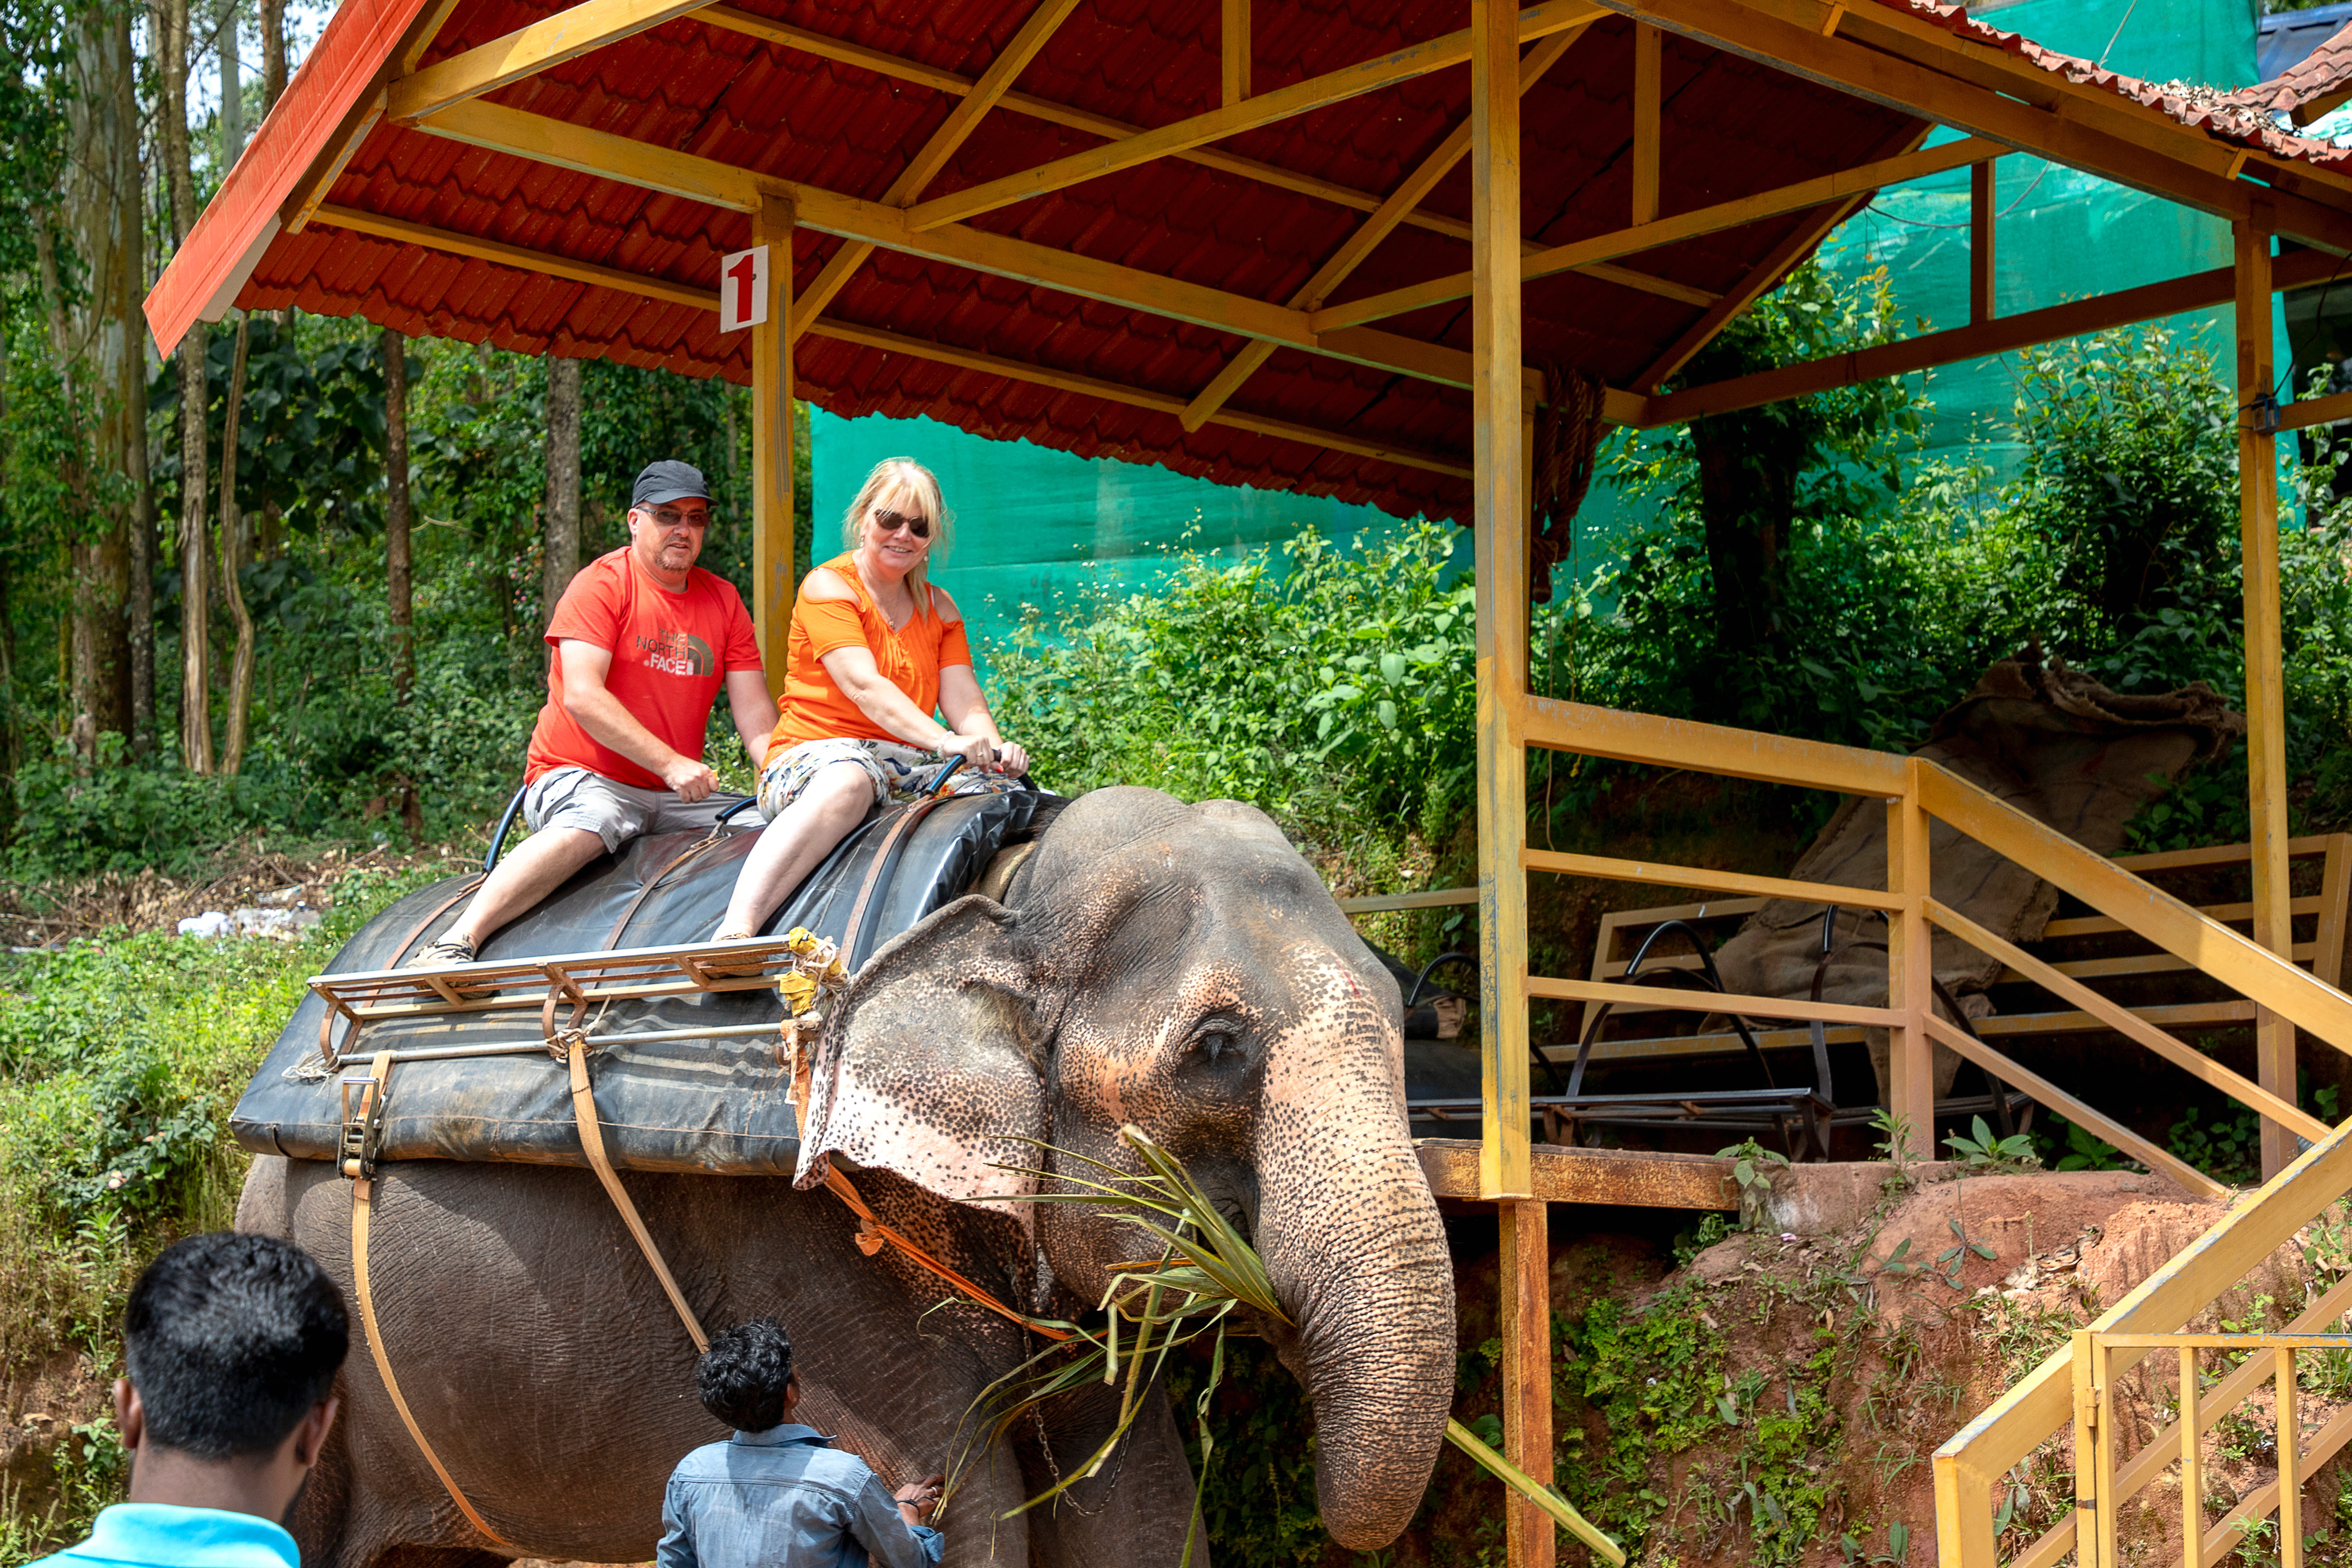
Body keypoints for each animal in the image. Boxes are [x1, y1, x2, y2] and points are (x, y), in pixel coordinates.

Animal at [235, 785, 1456, 1568]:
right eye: (1214, 1046)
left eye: (1402, 1012)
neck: (998, 891)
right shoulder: (802, 1239)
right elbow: (969, 1511)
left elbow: (1140, 1505)